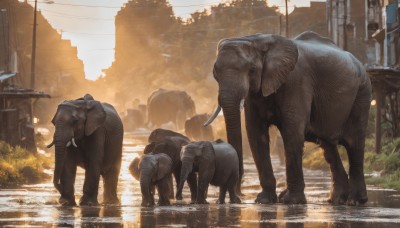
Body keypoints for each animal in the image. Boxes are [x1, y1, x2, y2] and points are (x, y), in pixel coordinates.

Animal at [206, 30, 372, 205]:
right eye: (215, 72)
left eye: (252, 70)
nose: (239, 196)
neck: (256, 39)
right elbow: (256, 134)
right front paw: (264, 200)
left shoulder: (296, 81)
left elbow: (292, 132)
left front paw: (292, 201)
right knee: (328, 147)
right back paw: (336, 200)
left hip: (362, 92)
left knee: (354, 144)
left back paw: (356, 201)